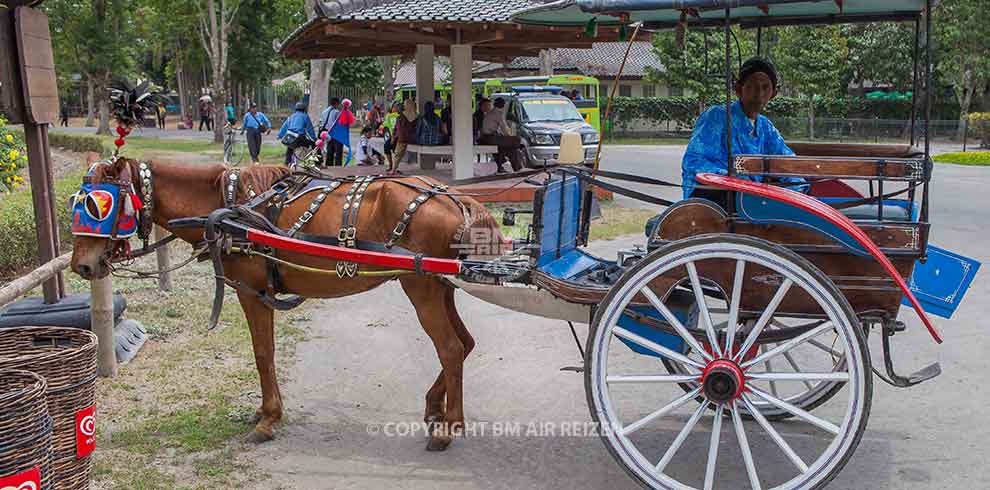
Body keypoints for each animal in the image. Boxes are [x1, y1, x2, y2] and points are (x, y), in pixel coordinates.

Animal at [69, 158, 508, 452]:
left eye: (99, 207)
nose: (82, 265)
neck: (228, 207)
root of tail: (455, 198)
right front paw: (266, 412)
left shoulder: (250, 290)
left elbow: (263, 353)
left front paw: (268, 418)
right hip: (439, 285)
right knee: (464, 344)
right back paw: (436, 406)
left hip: (420, 285)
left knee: (449, 347)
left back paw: (449, 427)